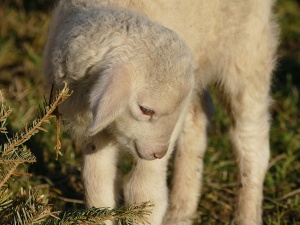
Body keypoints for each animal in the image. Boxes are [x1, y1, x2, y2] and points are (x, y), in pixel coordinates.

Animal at [42, 0, 278, 225]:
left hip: (248, 53)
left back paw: (246, 215)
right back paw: (180, 213)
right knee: (198, 119)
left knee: (251, 140)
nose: (159, 153)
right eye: (145, 110)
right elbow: (96, 181)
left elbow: (143, 191)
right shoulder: (95, 126)